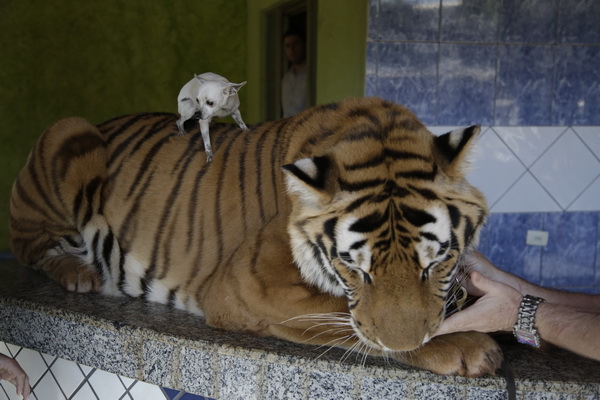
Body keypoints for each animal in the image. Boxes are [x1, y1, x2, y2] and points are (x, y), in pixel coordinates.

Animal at [9, 97, 502, 378]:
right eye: (354, 268)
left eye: (435, 262)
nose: (406, 346)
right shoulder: (249, 285)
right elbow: (341, 317)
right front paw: (465, 346)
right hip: (70, 129)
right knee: (27, 247)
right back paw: (79, 273)